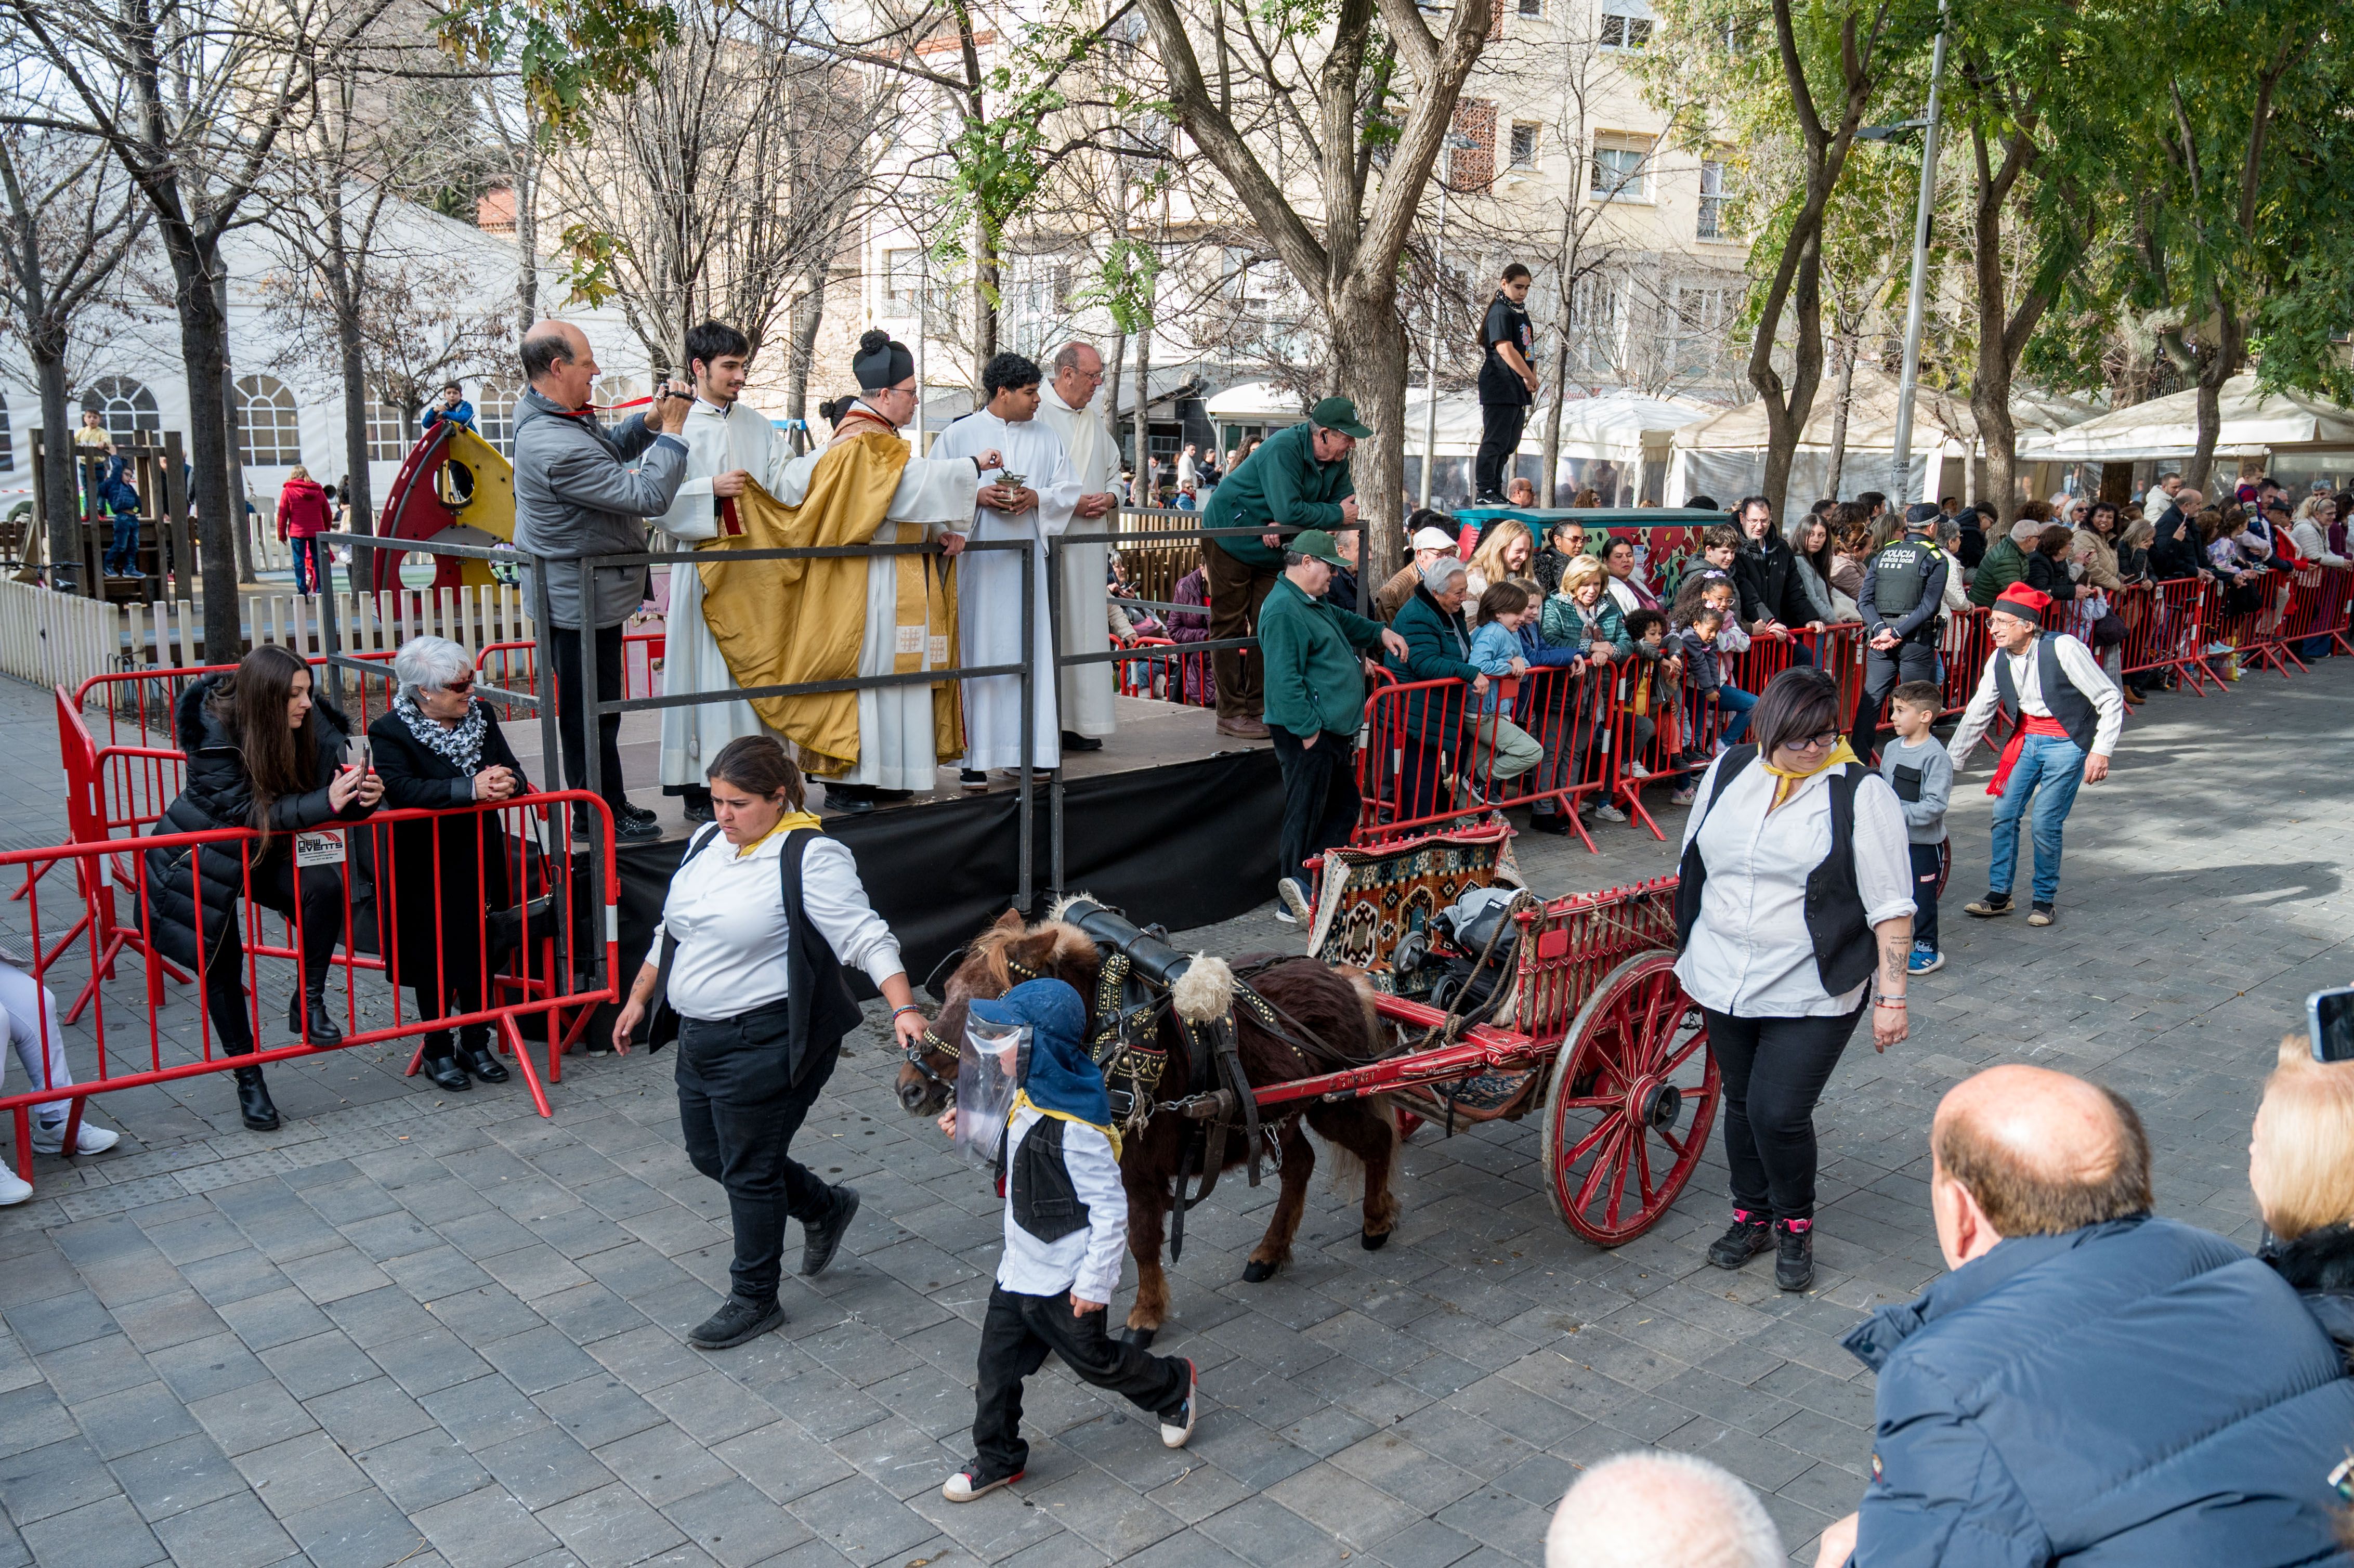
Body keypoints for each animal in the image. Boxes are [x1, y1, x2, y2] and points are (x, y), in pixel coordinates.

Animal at [890, 904, 1384, 1347]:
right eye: (948, 988)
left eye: (990, 1010)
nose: (909, 1088)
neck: (1100, 1043)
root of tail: (1343, 978)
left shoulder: (1139, 1174)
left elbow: (1142, 1241)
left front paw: (1144, 1316)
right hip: (1276, 1118)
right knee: (1301, 1164)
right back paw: (1270, 1253)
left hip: (1336, 1101)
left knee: (1376, 1142)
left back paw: (1378, 1223)